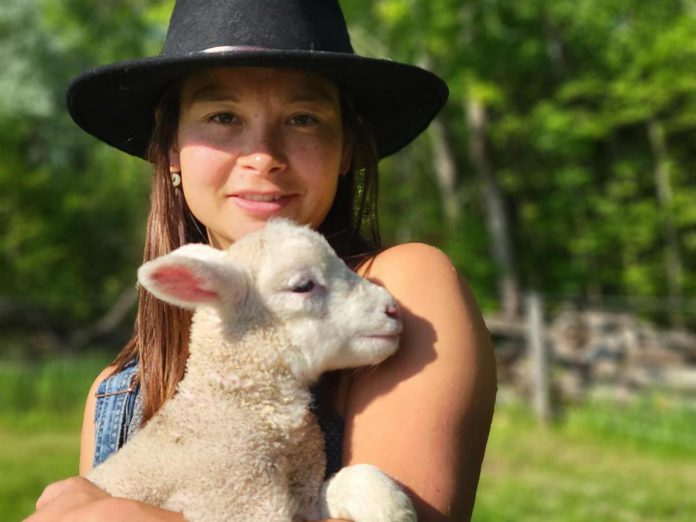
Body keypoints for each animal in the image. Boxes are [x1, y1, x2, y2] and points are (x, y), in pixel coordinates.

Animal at [85, 218, 414, 520]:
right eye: (302, 286)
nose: (393, 310)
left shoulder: (303, 495)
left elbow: (357, 480)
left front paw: (392, 508)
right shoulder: (238, 503)